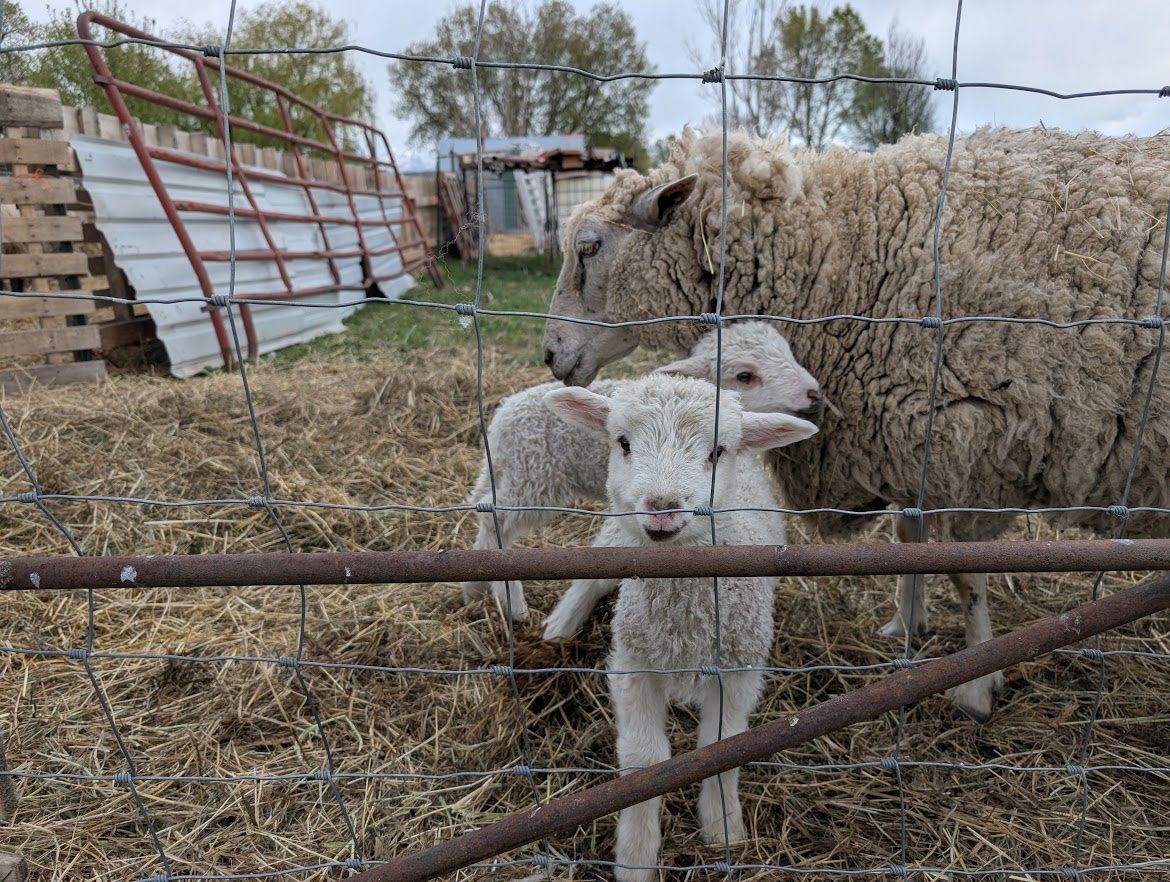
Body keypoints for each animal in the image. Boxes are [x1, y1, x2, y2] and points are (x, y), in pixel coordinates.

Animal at [461, 320, 823, 638]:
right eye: (745, 375)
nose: (813, 395)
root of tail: (502, 415)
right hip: (535, 477)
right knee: (496, 521)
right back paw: (511, 603)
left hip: (514, 473)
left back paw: (473, 589)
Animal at [540, 126, 1170, 721]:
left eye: (588, 247)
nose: (549, 354)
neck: (844, 255)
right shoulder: (919, 447)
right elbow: (910, 539)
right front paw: (907, 626)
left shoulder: (969, 452)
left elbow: (967, 577)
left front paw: (974, 686)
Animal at [545, 373, 818, 881]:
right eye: (623, 442)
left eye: (717, 451)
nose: (662, 507)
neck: (683, 624)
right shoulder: (633, 663)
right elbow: (645, 761)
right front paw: (635, 857)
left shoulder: (739, 669)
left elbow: (721, 748)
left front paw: (723, 827)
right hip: (617, 535)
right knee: (593, 571)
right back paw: (561, 623)